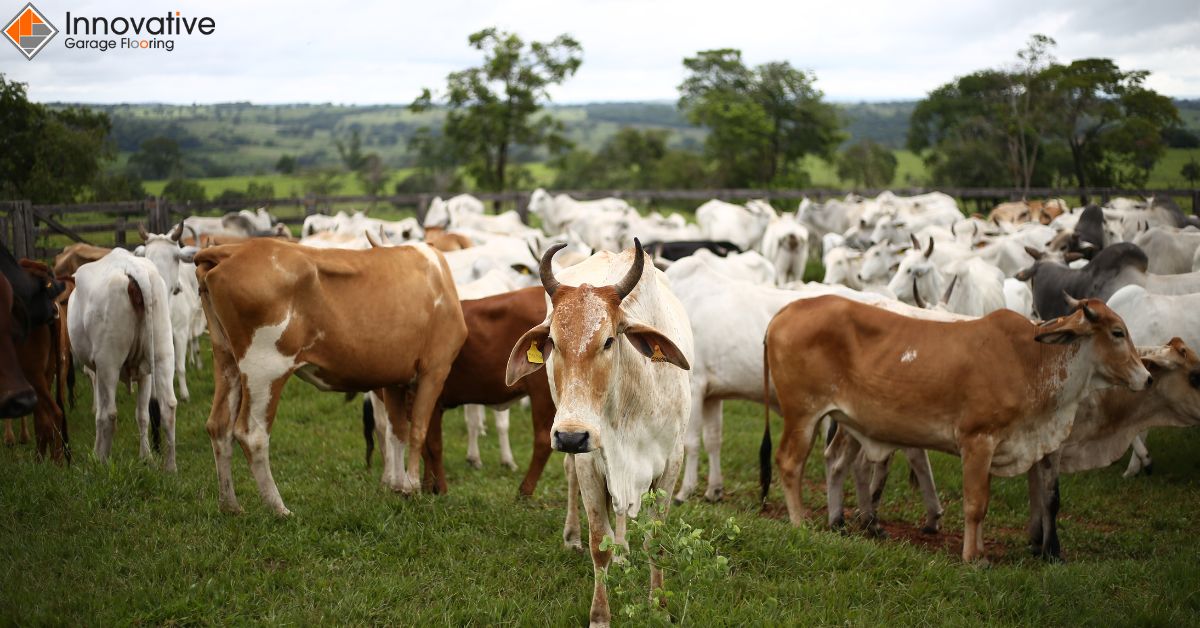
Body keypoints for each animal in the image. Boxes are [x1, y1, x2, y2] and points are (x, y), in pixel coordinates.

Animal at [68, 248, 177, 468]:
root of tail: (132, 268)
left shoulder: (98, 371)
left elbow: (99, 412)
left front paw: (96, 453)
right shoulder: (145, 374)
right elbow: (142, 415)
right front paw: (146, 457)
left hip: (108, 363)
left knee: (109, 414)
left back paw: (102, 462)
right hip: (163, 353)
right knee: (168, 406)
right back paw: (170, 467)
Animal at [194, 238, 465, 513]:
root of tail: (234, 249)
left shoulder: (395, 379)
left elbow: (396, 431)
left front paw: (400, 487)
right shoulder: (435, 369)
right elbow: (418, 430)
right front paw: (413, 487)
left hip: (226, 359)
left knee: (219, 426)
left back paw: (230, 506)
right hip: (264, 368)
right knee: (253, 435)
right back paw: (279, 509)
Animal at [506, 240, 696, 624]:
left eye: (608, 341)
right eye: (552, 342)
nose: (570, 436)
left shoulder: (672, 462)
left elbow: (656, 541)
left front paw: (659, 607)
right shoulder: (590, 461)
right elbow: (598, 545)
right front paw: (599, 616)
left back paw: (623, 550)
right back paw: (573, 537)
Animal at [763, 297, 1147, 561]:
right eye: (1117, 332)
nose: (1146, 377)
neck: (1031, 361)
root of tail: (786, 311)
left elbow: (991, 503)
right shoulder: (978, 441)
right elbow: (975, 504)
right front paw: (973, 557)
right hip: (802, 415)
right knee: (789, 463)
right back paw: (799, 523)